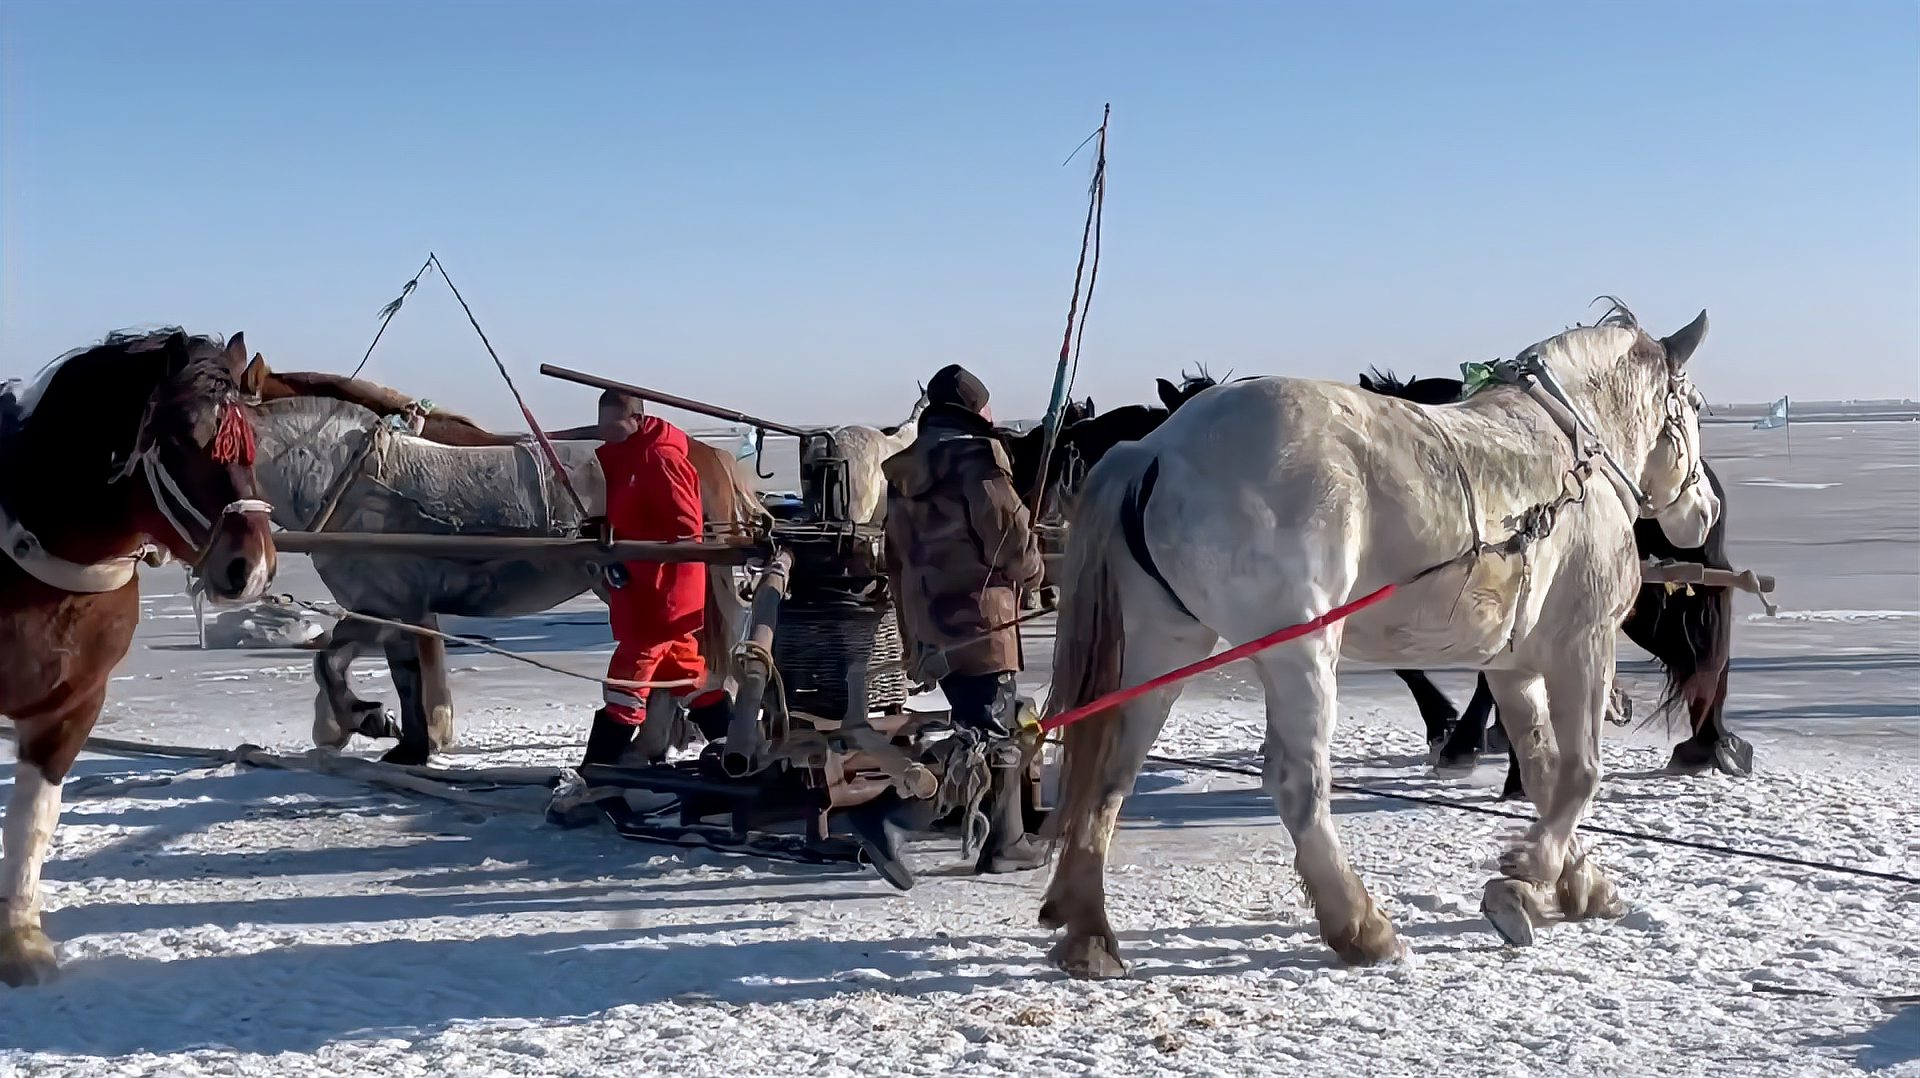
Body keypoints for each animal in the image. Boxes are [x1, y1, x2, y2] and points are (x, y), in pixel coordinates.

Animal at [0, 328, 278, 983]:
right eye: (181, 441)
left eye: (252, 445)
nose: (250, 567)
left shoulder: (72, 707)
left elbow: (31, 822)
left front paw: (19, 939)